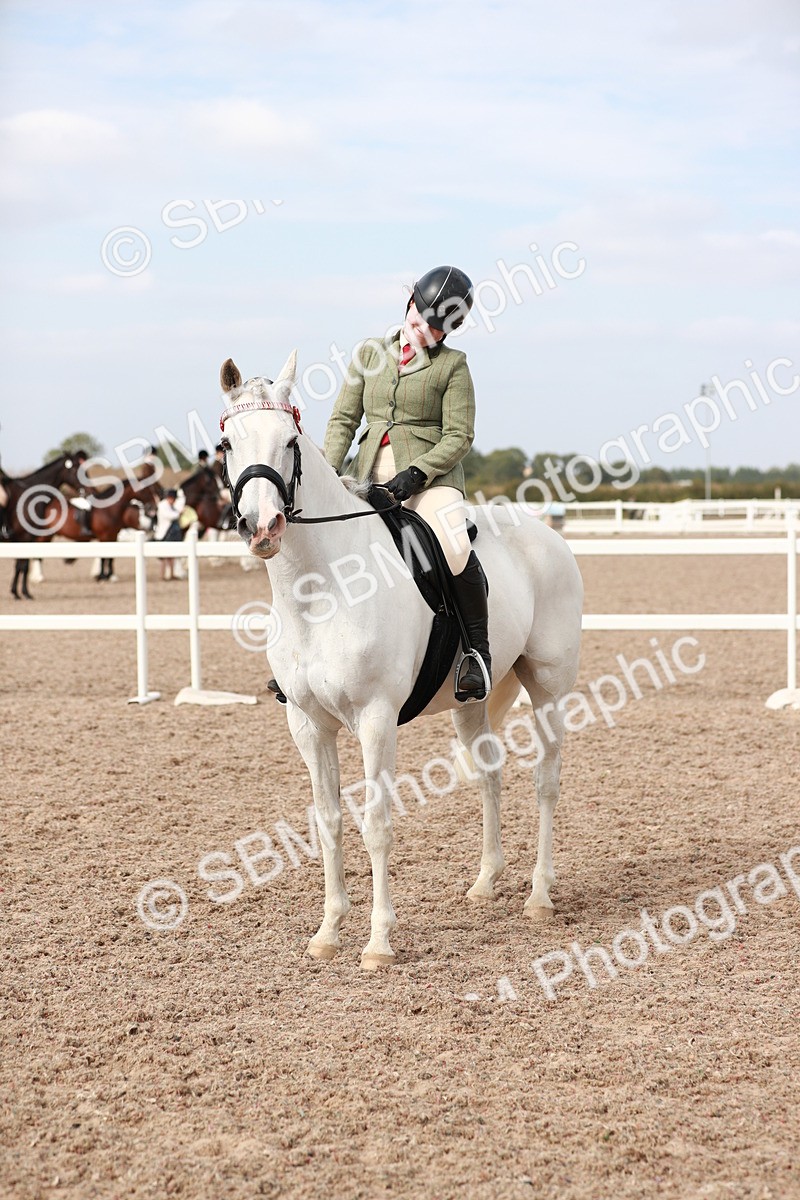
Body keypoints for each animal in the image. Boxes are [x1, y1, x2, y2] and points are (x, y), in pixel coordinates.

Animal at [0, 452, 88, 598]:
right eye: (77, 469)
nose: (90, 490)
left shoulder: (26, 539)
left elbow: (22, 566)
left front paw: (19, 592)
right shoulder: (24, 538)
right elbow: (22, 566)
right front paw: (22, 593)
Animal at [219, 352, 584, 971]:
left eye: (290, 441)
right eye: (226, 444)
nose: (262, 527)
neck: (321, 587)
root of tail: (549, 536)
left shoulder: (375, 719)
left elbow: (377, 825)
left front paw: (379, 943)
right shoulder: (307, 724)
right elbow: (329, 822)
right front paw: (328, 932)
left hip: (549, 688)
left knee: (547, 780)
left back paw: (539, 895)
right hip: (470, 704)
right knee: (490, 774)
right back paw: (486, 883)